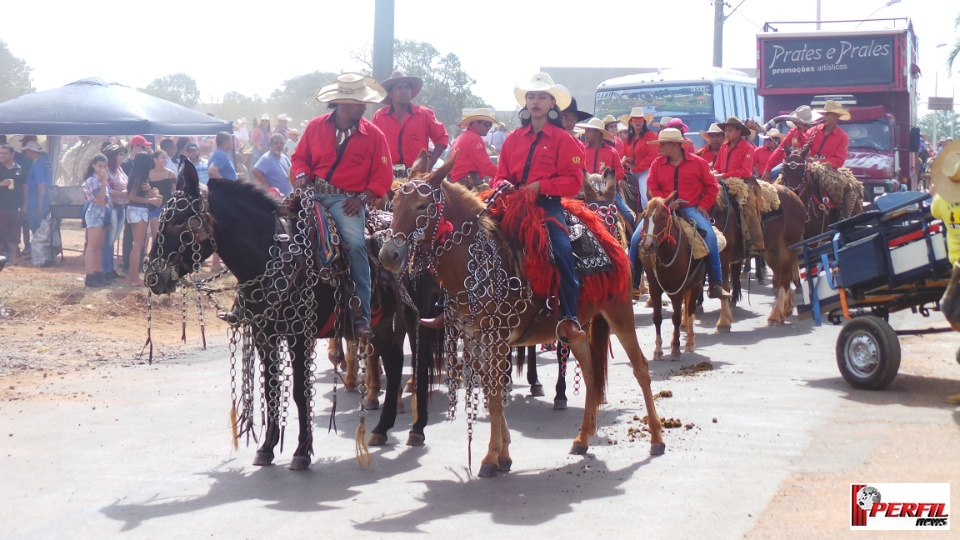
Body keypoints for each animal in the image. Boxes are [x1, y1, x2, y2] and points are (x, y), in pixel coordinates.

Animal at [378, 152, 664, 476]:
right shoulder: (474, 338)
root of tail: (607, 236)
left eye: (422, 206)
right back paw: (582, 438)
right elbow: (491, 391)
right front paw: (503, 453)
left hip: (619, 312)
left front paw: (491, 457)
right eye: (393, 205)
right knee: (592, 373)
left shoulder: (497, 339)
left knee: (640, 368)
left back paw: (656, 439)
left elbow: (493, 393)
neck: (476, 263)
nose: (388, 255)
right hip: (576, 328)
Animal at [636, 194, 704, 358]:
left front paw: (676, 347)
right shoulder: (655, 288)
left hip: (696, 284)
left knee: (690, 310)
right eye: (644, 216)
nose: (648, 245)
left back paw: (689, 342)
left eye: (663, 216)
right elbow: (657, 317)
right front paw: (658, 349)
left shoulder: (677, 289)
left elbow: (676, 318)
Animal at [716, 179, 808, 326]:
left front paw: (723, 321)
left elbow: (723, 285)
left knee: (785, 280)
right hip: (772, 252)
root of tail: (796, 197)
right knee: (782, 278)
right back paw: (785, 310)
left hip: (786, 249)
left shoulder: (723, 256)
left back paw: (775, 316)